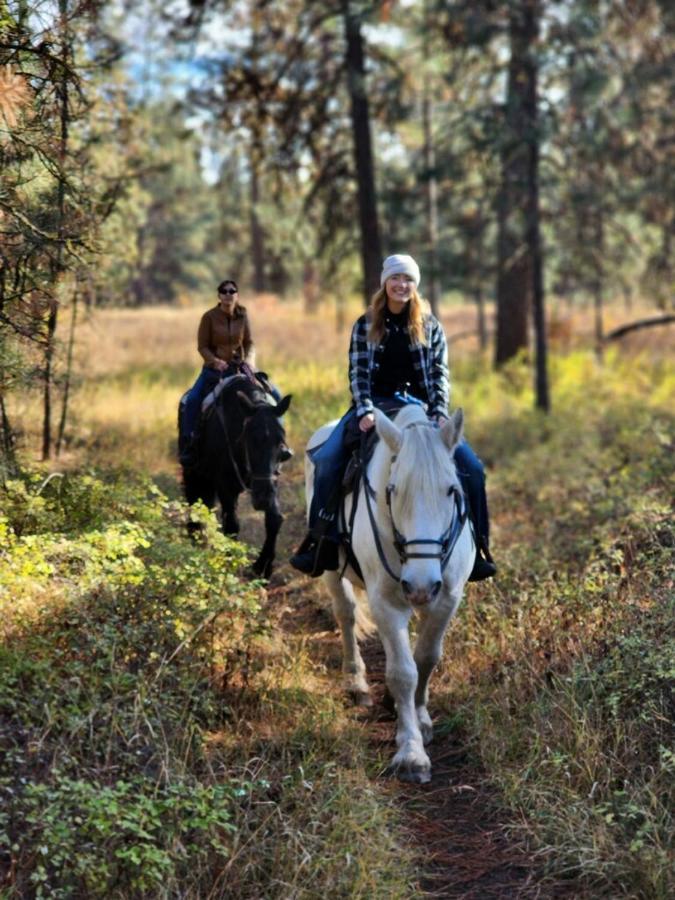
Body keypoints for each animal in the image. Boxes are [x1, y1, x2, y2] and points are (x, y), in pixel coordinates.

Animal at [306, 404, 476, 784]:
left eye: (451, 490)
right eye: (393, 490)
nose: (421, 585)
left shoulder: (446, 599)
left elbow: (426, 657)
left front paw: (421, 720)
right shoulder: (385, 601)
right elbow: (402, 672)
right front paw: (411, 753)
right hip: (332, 572)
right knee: (346, 614)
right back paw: (357, 685)